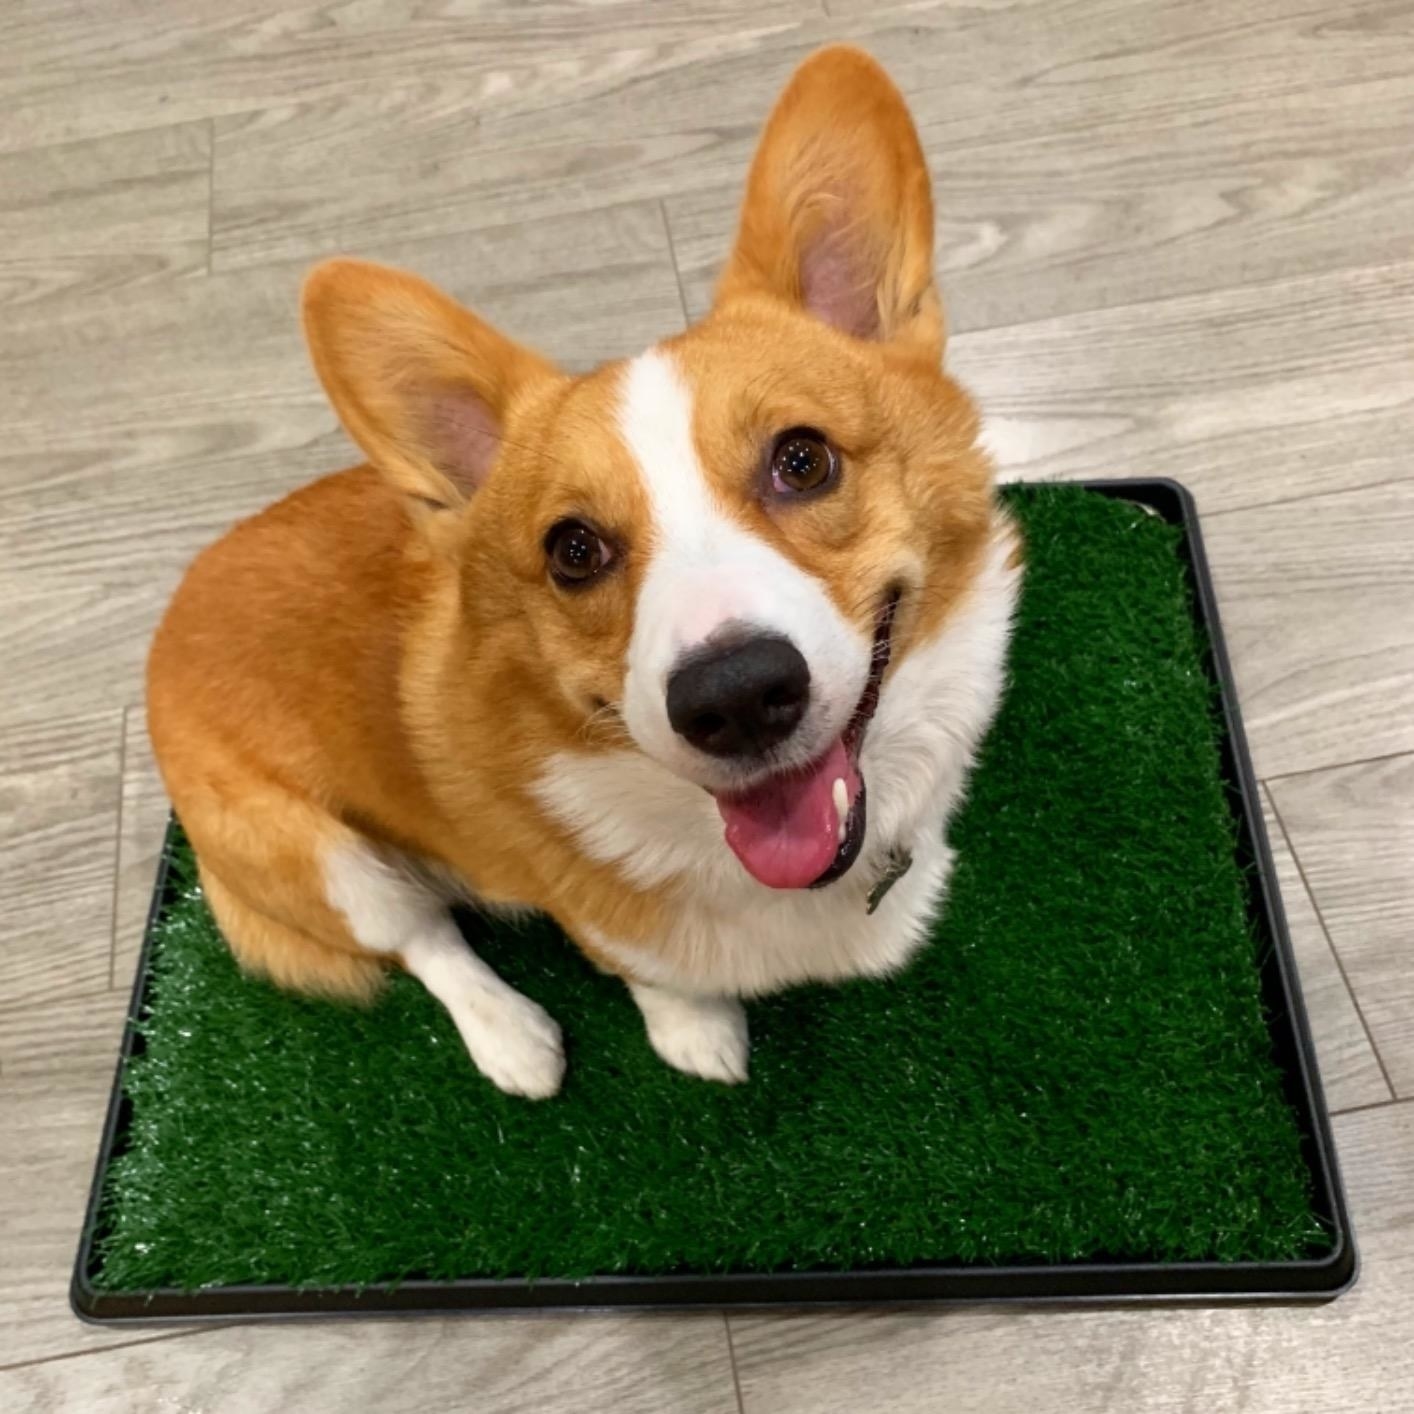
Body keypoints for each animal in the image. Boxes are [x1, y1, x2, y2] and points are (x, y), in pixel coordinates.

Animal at [149, 44, 1018, 1097]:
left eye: (803, 460)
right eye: (573, 549)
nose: (735, 697)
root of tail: (167, 628)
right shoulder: (583, 908)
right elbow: (651, 973)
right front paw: (696, 1033)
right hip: (325, 861)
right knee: (423, 940)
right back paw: (510, 1035)